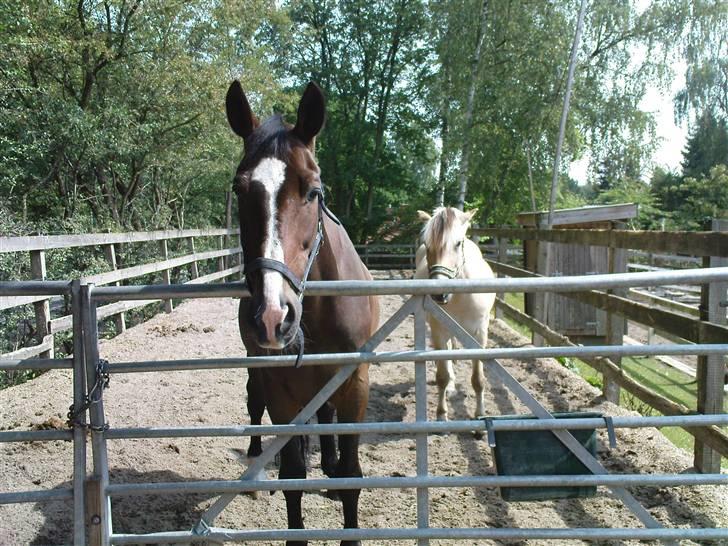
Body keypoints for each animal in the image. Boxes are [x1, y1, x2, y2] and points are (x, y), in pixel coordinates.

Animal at [225, 77, 378, 544]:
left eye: (312, 191)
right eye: (240, 190)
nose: (272, 316)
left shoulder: (354, 383)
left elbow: (351, 474)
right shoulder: (281, 389)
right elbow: (292, 473)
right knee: (253, 403)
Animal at [416, 206, 494, 418]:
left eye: (458, 244)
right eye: (427, 244)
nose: (439, 293)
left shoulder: (479, 335)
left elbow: (478, 379)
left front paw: (480, 416)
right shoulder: (438, 331)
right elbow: (442, 376)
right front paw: (441, 414)